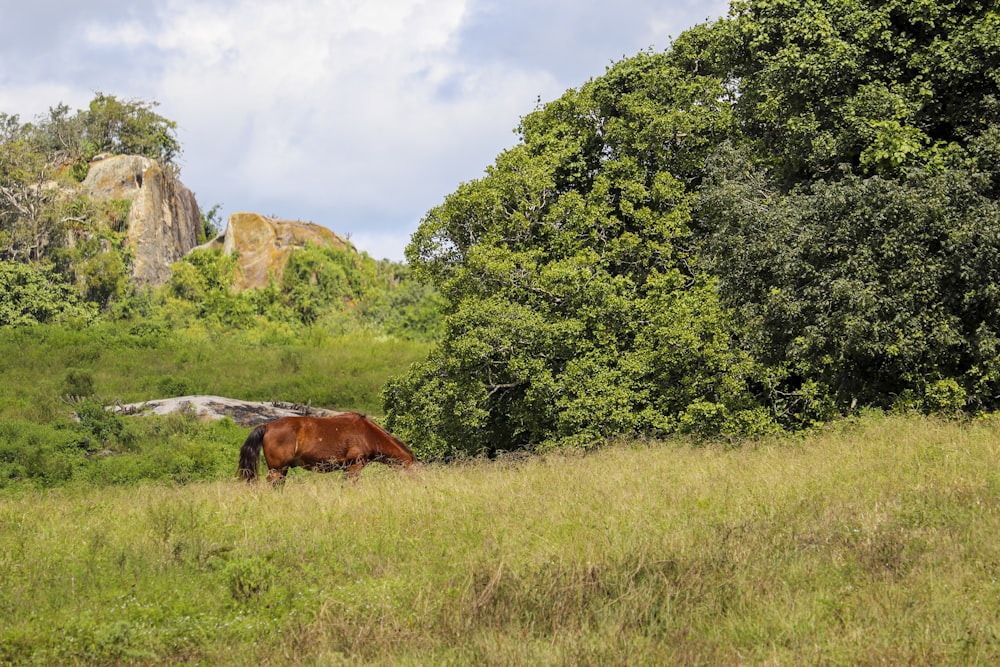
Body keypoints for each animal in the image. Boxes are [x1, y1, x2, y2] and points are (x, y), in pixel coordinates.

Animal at [237, 412, 414, 486]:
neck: (367, 433)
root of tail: (267, 426)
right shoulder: (355, 467)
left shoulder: (347, 469)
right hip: (277, 469)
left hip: (282, 469)